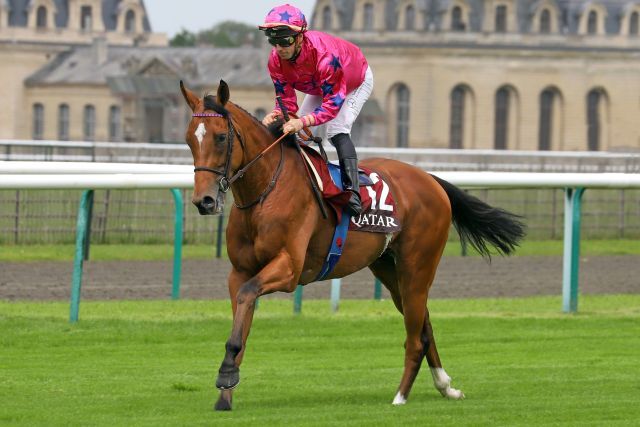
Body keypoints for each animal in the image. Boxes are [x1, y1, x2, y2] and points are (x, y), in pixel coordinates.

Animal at [179, 79, 524, 412]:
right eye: (189, 139)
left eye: (221, 137)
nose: (203, 201)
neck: (265, 192)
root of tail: (430, 179)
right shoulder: (239, 272)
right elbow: (242, 317)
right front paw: (226, 391)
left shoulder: (289, 268)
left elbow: (248, 296)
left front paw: (226, 374)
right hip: (388, 268)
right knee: (423, 325)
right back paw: (446, 386)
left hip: (419, 264)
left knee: (415, 335)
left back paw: (401, 396)